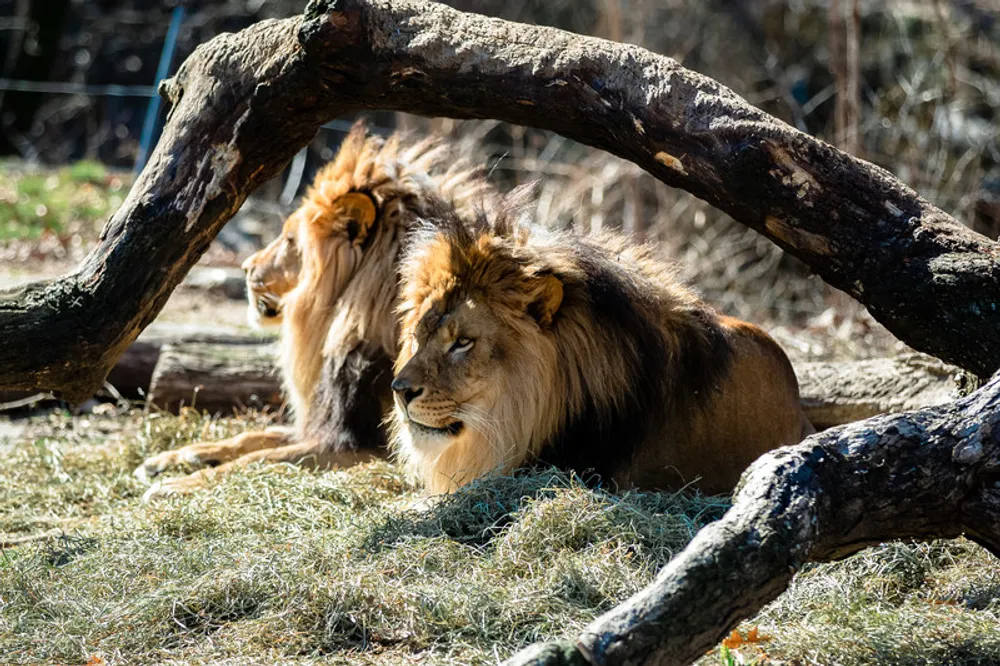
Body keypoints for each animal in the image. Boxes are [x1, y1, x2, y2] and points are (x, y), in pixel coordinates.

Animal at [136, 120, 496, 498]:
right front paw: (176, 458)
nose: (246, 267)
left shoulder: (363, 445)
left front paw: (177, 484)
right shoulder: (324, 423)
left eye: (290, 241)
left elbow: (258, 459)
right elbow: (255, 437)